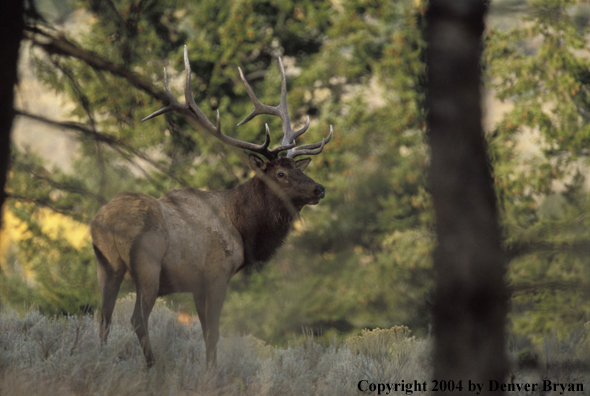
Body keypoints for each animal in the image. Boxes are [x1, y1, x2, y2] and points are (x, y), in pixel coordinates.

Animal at [91, 47, 336, 368]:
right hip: (147, 265)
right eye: (281, 174)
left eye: (298, 168)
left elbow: (206, 331)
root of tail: (102, 223)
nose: (319, 189)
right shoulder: (217, 274)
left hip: (106, 265)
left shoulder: (196, 284)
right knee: (136, 319)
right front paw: (212, 372)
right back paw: (153, 366)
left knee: (103, 317)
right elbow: (213, 332)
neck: (242, 229)